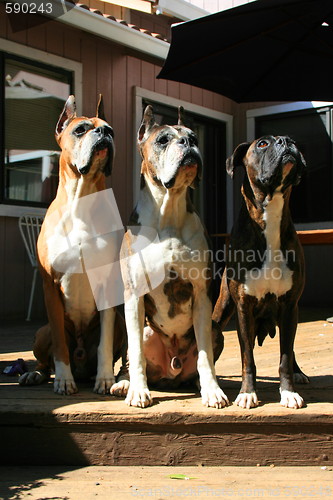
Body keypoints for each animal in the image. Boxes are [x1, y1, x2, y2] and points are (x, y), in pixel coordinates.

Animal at [19, 95, 128, 396]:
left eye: (111, 130)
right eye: (80, 130)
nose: (103, 133)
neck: (82, 199)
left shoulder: (109, 285)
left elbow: (104, 343)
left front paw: (105, 378)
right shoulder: (50, 287)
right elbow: (59, 344)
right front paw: (63, 379)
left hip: (122, 321)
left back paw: (121, 380)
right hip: (41, 331)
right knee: (46, 358)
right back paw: (36, 374)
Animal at [119, 105, 226, 406]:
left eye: (194, 137)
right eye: (163, 140)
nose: (188, 143)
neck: (168, 212)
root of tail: (172, 370)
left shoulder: (202, 295)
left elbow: (205, 356)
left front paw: (212, 390)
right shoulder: (133, 296)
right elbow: (136, 353)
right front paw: (138, 391)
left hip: (216, 329)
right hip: (145, 329)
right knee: (130, 357)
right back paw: (124, 383)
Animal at [211, 135, 308, 408]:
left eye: (292, 140)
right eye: (263, 144)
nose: (286, 141)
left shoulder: (289, 306)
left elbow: (285, 356)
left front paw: (288, 392)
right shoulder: (244, 307)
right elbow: (248, 358)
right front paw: (247, 393)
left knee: (291, 348)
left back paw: (299, 371)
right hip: (223, 308)